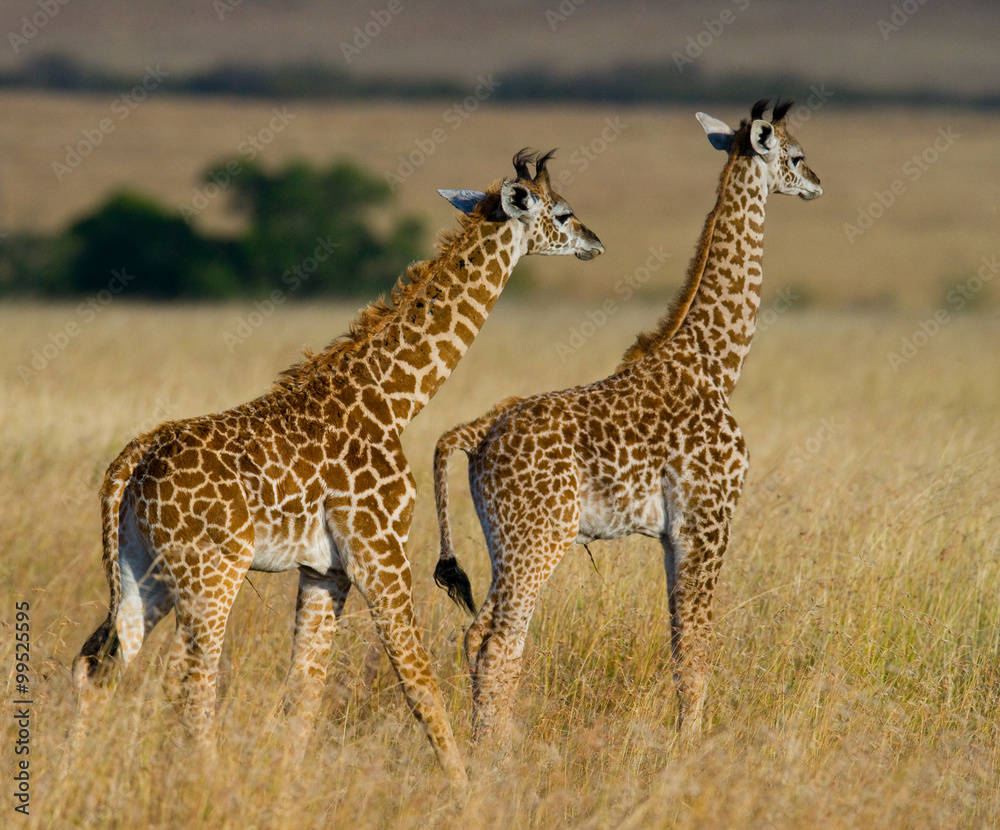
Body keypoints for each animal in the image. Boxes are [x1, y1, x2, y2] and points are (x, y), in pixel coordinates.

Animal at [70, 149, 604, 788]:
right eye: (564, 213)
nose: (596, 241)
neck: (393, 400)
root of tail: (132, 462)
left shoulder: (326, 569)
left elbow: (303, 693)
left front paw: (284, 790)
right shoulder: (381, 551)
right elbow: (419, 682)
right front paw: (465, 792)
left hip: (142, 571)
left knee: (96, 663)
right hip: (210, 573)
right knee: (188, 681)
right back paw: (206, 785)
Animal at [433, 101, 822, 745]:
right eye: (795, 155)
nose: (817, 183)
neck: (717, 361)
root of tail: (476, 436)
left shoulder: (671, 532)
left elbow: (678, 641)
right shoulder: (708, 519)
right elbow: (696, 651)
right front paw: (689, 747)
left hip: (502, 541)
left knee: (476, 635)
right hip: (540, 540)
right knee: (499, 647)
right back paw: (494, 757)